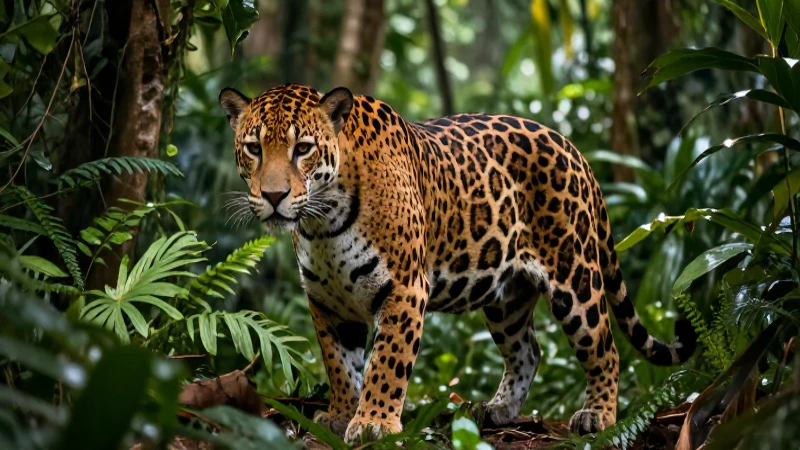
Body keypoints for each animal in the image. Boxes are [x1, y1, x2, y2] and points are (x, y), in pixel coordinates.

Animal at [218, 83, 697, 444]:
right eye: (253, 148)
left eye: (303, 149)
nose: (274, 196)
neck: (323, 223)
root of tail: (572, 148)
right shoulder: (326, 300)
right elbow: (338, 363)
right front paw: (340, 413)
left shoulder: (405, 288)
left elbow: (386, 362)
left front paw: (374, 422)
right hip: (507, 297)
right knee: (528, 350)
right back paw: (499, 409)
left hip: (573, 275)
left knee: (604, 347)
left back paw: (598, 415)